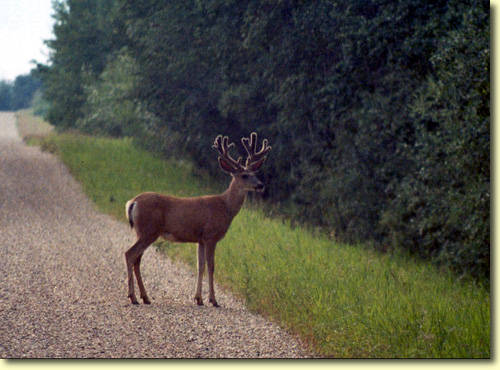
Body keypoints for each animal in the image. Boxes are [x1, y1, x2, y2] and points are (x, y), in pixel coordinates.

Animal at [127, 132, 272, 306]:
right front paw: (213, 300)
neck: (226, 207)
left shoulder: (200, 240)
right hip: (149, 231)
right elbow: (211, 266)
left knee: (137, 259)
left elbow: (200, 266)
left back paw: (145, 297)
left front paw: (198, 299)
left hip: (142, 232)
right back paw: (133, 297)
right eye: (244, 175)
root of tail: (133, 202)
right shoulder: (211, 236)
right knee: (130, 254)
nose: (260, 185)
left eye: (255, 173)